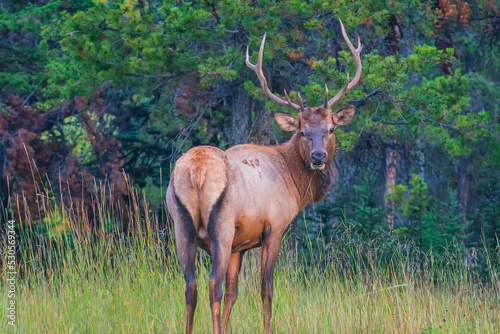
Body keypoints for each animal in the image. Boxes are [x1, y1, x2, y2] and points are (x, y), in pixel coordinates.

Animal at [166, 19, 362, 332]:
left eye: (330, 129)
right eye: (302, 131)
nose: (319, 157)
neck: (294, 183)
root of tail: (196, 171)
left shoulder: (240, 245)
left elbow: (234, 293)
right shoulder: (274, 228)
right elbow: (266, 289)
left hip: (180, 226)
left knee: (190, 286)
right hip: (220, 227)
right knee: (212, 284)